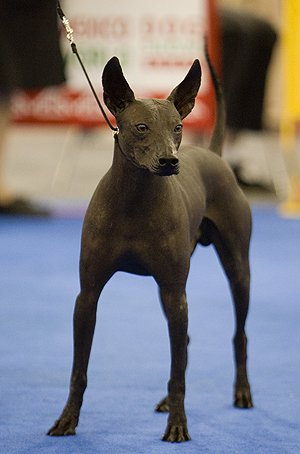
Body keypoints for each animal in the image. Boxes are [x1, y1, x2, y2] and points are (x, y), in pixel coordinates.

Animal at [48, 50, 252, 444]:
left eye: (178, 128)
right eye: (141, 127)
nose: (170, 161)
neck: (134, 200)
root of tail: (215, 155)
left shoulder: (176, 292)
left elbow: (178, 374)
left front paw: (178, 425)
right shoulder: (88, 295)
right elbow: (79, 370)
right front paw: (67, 420)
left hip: (236, 272)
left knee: (238, 336)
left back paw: (241, 392)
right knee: (184, 342)